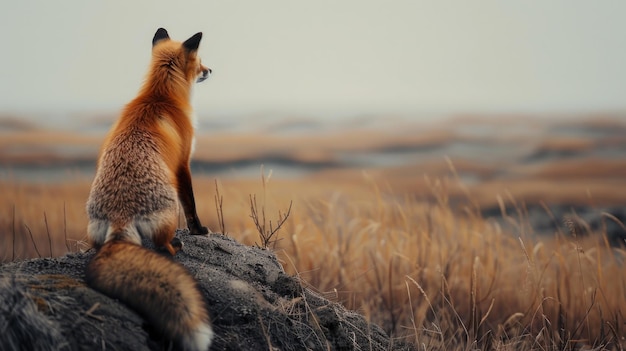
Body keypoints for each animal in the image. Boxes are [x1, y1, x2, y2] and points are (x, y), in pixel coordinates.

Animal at [84, 28, 213, 351]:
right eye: (201, 61)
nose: (211, 70)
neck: (159, 96)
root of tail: (120, 217)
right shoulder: (183, 164)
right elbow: (191, 204)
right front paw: (199, 231)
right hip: (167, 215)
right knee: (162, 246)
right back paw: (175, 246)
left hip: (95, 233)